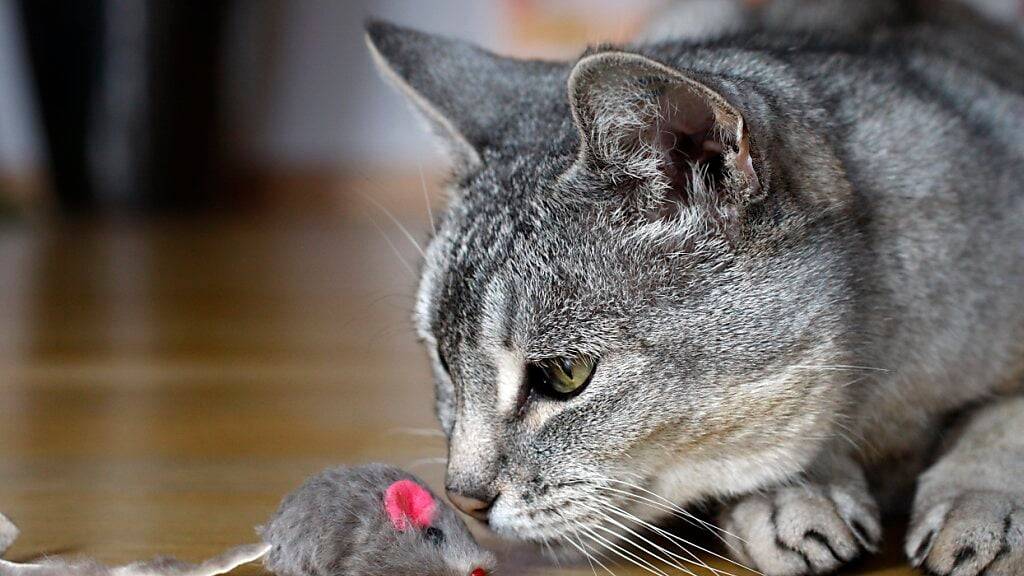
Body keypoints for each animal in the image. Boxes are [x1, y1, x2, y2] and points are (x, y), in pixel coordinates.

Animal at [364, 1, 1024, 569]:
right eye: (443, 360)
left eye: (565, 374)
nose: (461, 497)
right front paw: (793, 495)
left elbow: (1004, 416)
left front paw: (984, 503)